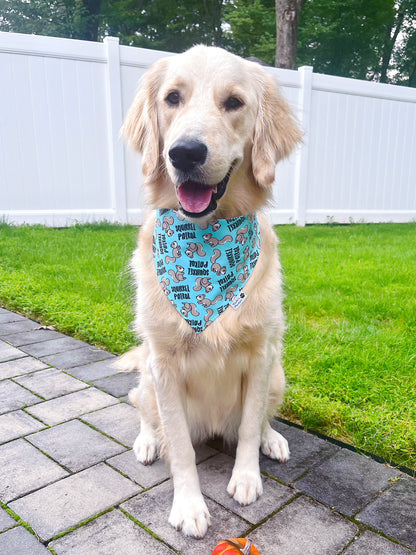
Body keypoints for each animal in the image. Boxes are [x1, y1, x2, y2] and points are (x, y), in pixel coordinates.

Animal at [119, 45, 300, 540]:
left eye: (234, 102)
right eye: (172, 98)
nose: (184, 152)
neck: (206, 240)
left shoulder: (261, 355)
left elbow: (249, 429)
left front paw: (247, 477)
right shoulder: (163, 365)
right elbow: (180, 447)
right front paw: (189, 506)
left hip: (278, 374)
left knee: (262, 419)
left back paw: (274, 439)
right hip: (147, 379)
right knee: (142, 409)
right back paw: (147, 442)